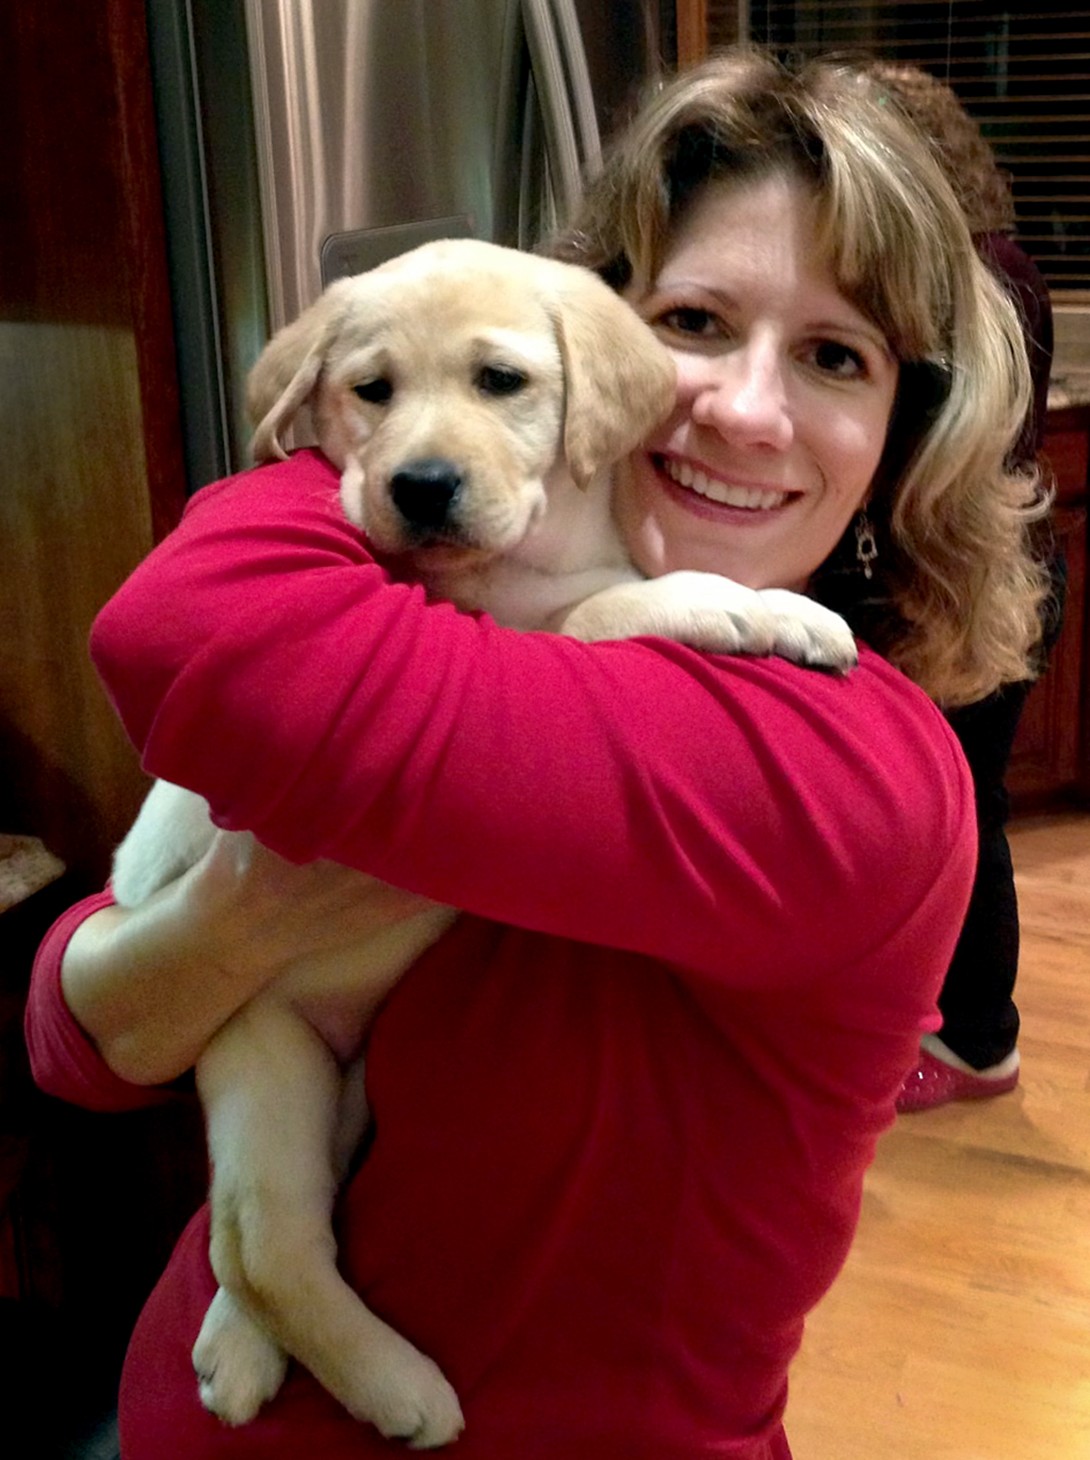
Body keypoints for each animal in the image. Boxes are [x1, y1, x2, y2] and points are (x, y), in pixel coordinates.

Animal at [113, 239, 863, 1448]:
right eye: (371, 390)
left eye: (501, 382)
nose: (418, 486)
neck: (528, 561)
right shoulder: (513, 639)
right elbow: (615, 608)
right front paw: (761, 608)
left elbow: (610, 592)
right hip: (260, 1042)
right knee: (264, 1241)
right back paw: (399, 1388)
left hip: (338, 1084)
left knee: (245, 1235)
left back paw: (240, 1345)